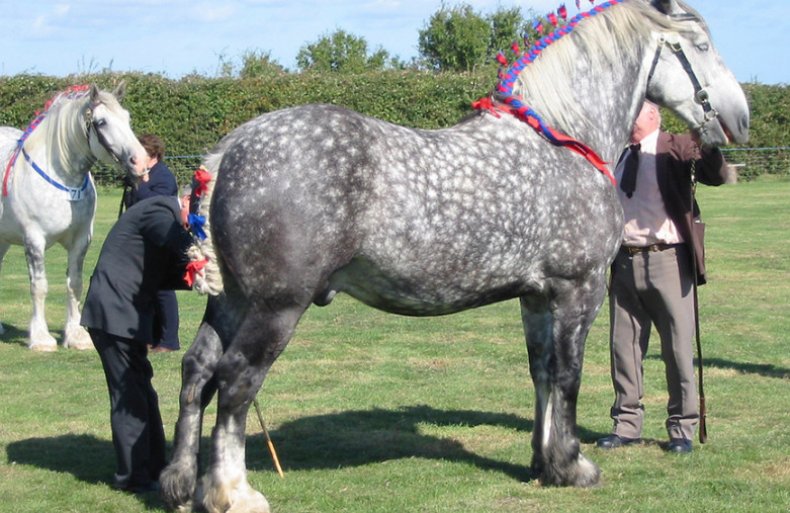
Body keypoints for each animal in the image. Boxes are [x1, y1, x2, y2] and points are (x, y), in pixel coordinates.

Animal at [0, 82, 148, 350]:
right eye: (101, 122)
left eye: (127, 118)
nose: (140, 161)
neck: (61, 181)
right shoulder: (33, 240)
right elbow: (39, 286)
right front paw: (41, 339)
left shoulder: (81, 240)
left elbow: (75, 284)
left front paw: (76, 336)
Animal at [164, 2, 752, 510]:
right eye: (701, 45)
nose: (740, 119)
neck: (564, 137)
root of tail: (230, 148)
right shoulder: (577, 288)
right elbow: (569, 375)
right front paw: (573, 466)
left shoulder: (536, 297)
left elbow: (541, 372)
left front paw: (543, 463)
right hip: (276, 307)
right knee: (235, 381)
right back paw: (232, 493)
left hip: (233, 301)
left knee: (197, 370)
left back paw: (179, 483)